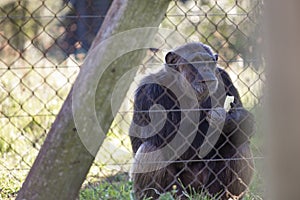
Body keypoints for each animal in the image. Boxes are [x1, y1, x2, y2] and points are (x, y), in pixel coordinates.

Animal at [129, 41, 255, 198]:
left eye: (208, 62)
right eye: (196, 61)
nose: (206, 68)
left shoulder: (225, 77)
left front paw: (233, 119)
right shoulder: (150, 91)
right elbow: (167, 140)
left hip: (209, 190)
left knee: (239, 144)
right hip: (179, 190)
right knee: (152, 148)